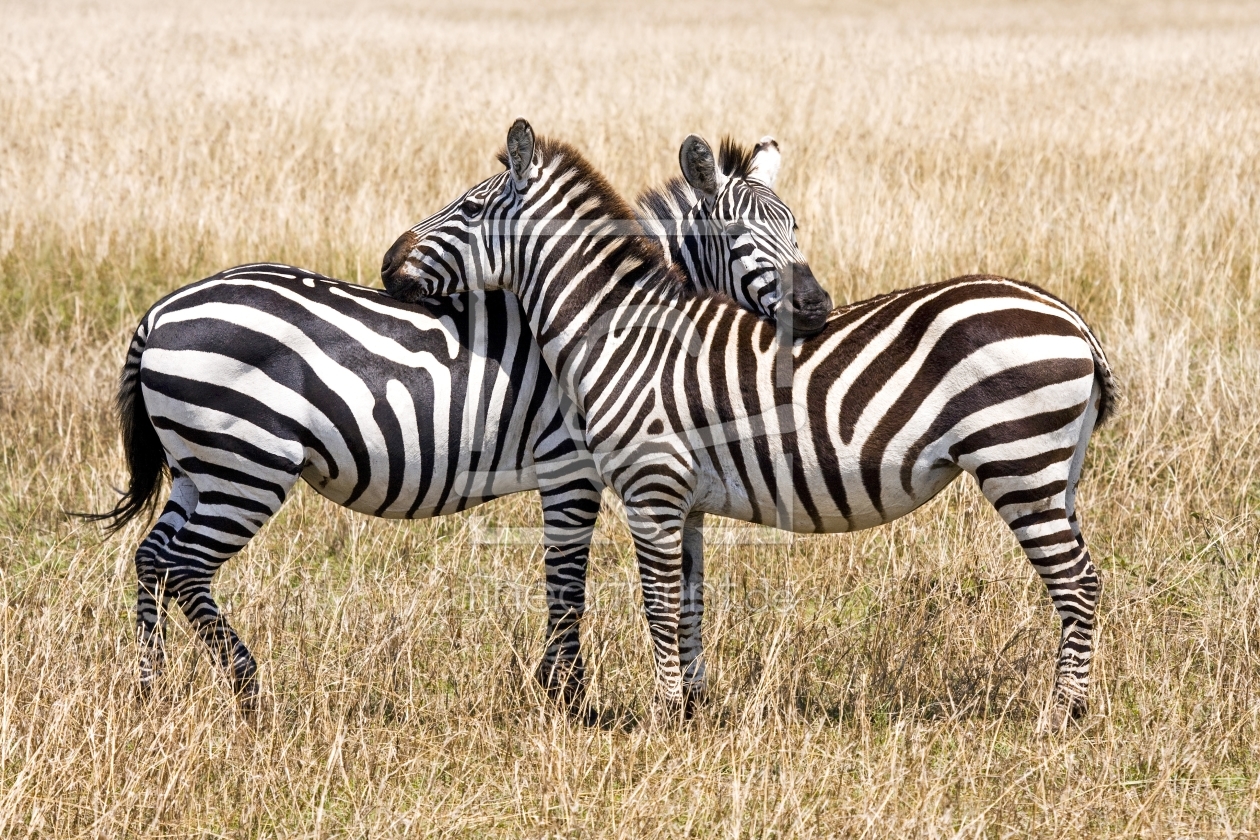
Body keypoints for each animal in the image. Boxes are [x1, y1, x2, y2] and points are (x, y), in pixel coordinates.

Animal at [81, 134, 826, 715]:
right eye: (741, 239)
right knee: (184, 567)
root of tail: (159, 312)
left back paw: (152, 687)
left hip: (201, 466)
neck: (613, 322)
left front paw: (563, 690)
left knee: (152, 556)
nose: (817, 307)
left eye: (796, 230)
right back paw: (247, 687)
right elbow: (567, 580)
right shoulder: (570, 465)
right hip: (247, 463)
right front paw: (568, 696)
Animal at [380, 118, 1113, 730]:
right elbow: (689, 600)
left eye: (470, 210)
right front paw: (692, 709)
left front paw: (661, 717)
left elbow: (655, 601)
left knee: (1075, 583)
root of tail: (1071, 319)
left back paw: (1061, 717)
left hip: (1018, 463)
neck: (623, 333)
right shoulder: (686, 501)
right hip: (1057, 475)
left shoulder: (648, 487)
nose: (389, 262)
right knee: (1087, 575)